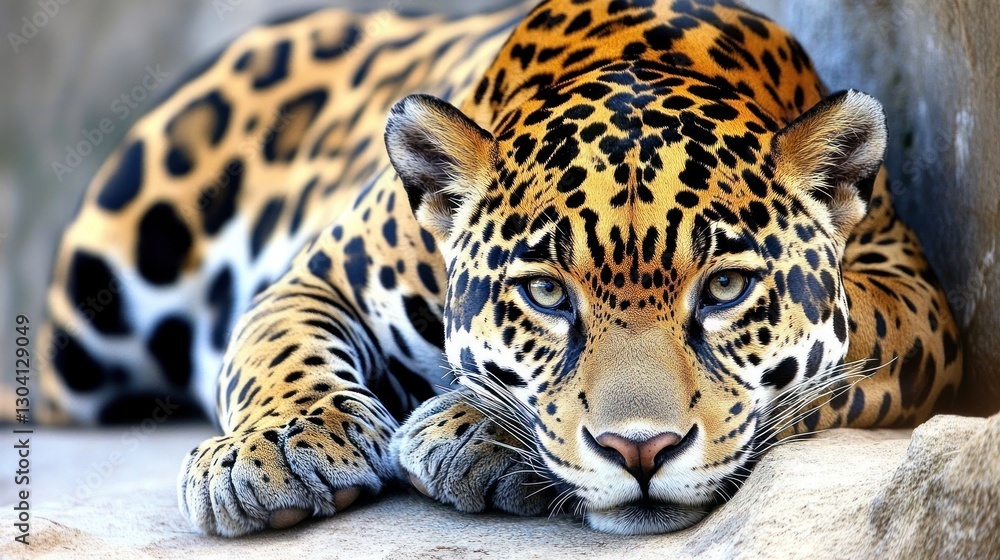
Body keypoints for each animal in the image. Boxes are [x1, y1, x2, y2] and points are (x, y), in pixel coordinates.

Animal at [39, 0, 963, 537]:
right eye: (546, 294)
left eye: (727, 289)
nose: (640, 451)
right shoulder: (317, 277)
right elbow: (278, 353)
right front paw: (276, 451)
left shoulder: (915, 296)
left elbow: (829, 362)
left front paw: (470, 428)